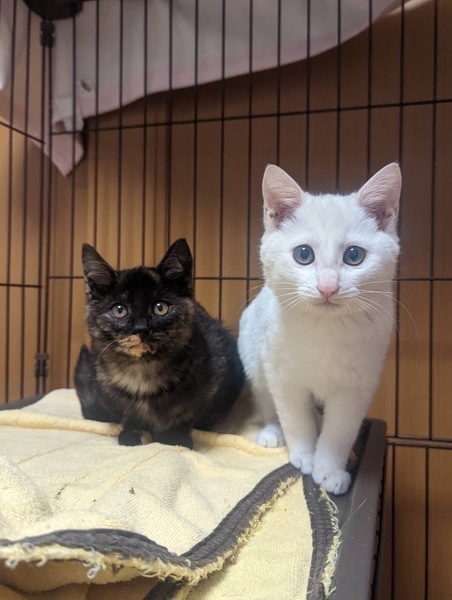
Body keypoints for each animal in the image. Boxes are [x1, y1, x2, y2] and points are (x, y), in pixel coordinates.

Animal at [74, 238, 244, 449]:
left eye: (160, 308)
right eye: (119, 309)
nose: (140, 328)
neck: (141, 373)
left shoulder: (215, 368)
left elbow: (186, 412)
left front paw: (174, 438)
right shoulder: (105, 386)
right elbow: (126, 413)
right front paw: (133, 433)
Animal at [238, 163, 401, 495]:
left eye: (354, 255)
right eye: (303, 254)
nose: (328, 287)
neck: (326, 330)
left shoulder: (358, 385)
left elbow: (340, 430)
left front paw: (329, 469)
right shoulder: (283, 377)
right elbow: (295, 418)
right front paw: (304, 455)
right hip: (253, 356)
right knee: (267, 401)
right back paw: (272, 432)